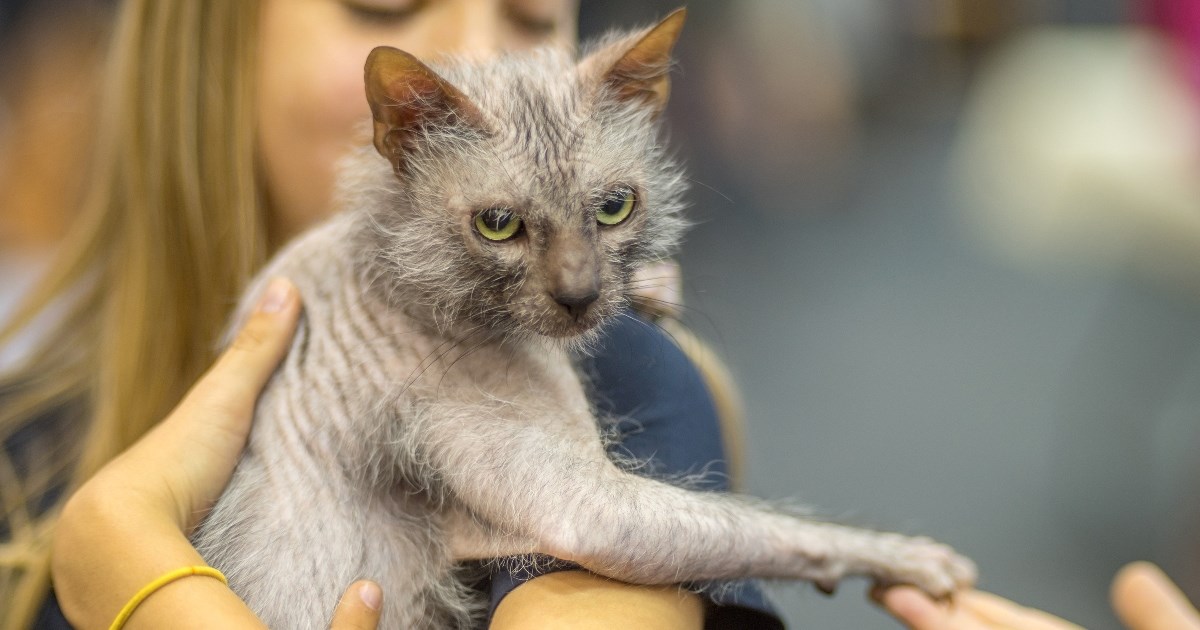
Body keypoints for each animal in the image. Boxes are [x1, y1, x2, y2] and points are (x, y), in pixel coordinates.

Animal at [189, 11, 974, 628]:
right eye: (498, 225)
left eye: (615, 208)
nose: (581, 296)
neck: (387, 264)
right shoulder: (582, 507)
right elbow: (773, 527)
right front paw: (909, 558)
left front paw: (652, 289)